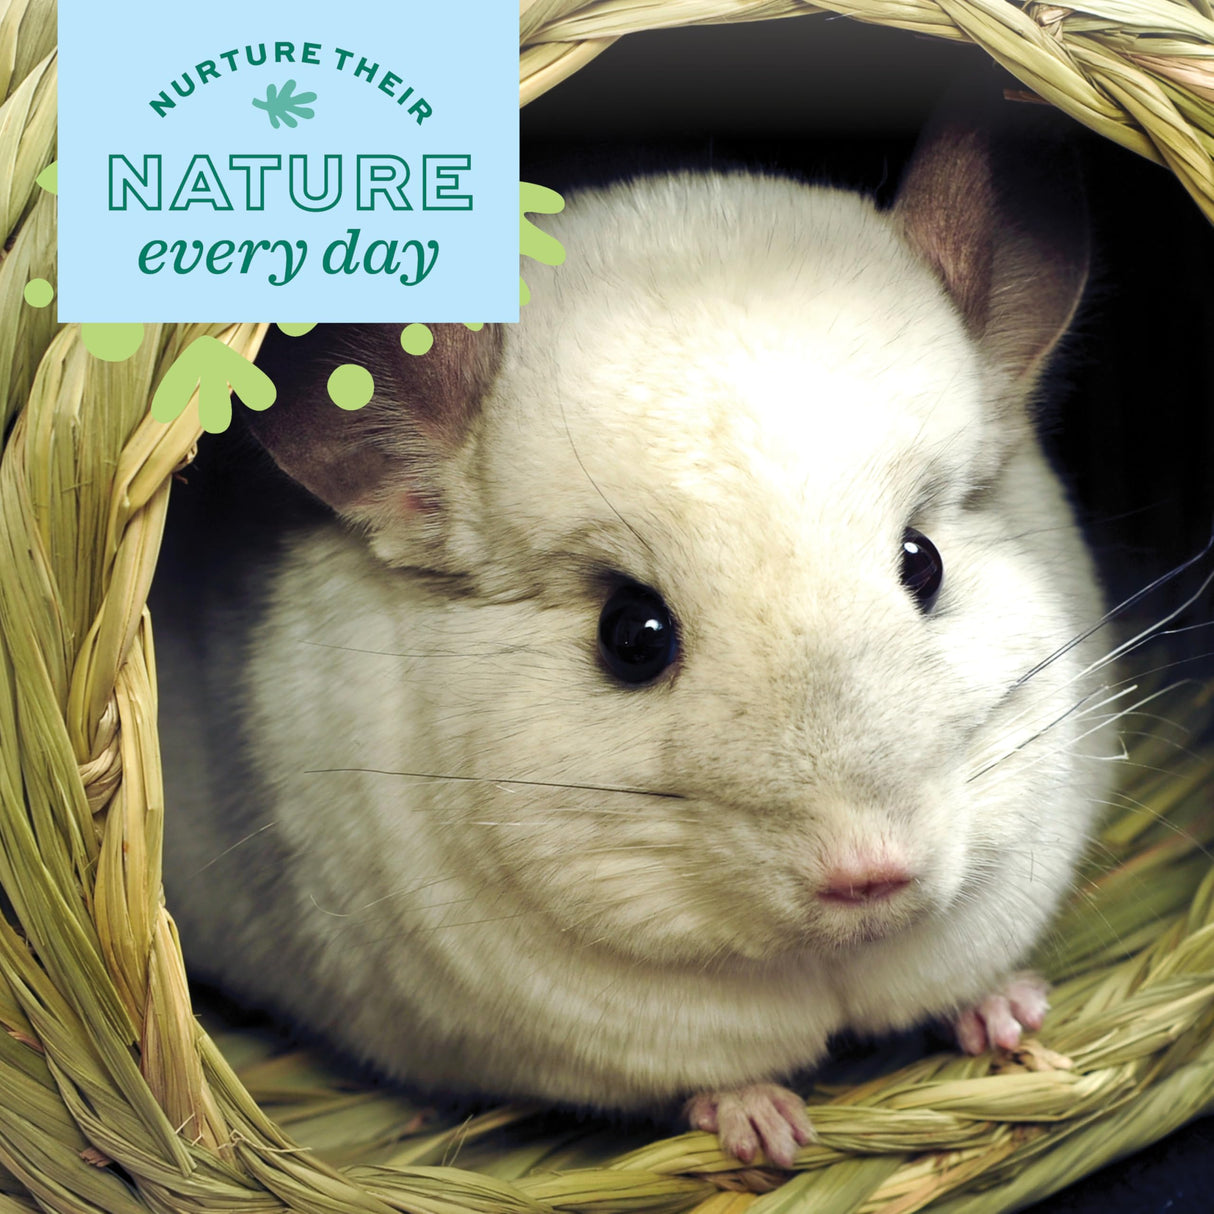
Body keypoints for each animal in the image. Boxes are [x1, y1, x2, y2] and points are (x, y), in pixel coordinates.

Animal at [155, 113, 1115, 1170]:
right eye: (632, 634)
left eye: (923, 561)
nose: (868, 873)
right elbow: (699, 1085)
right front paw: (765, 1129)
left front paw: (1013, 1014)